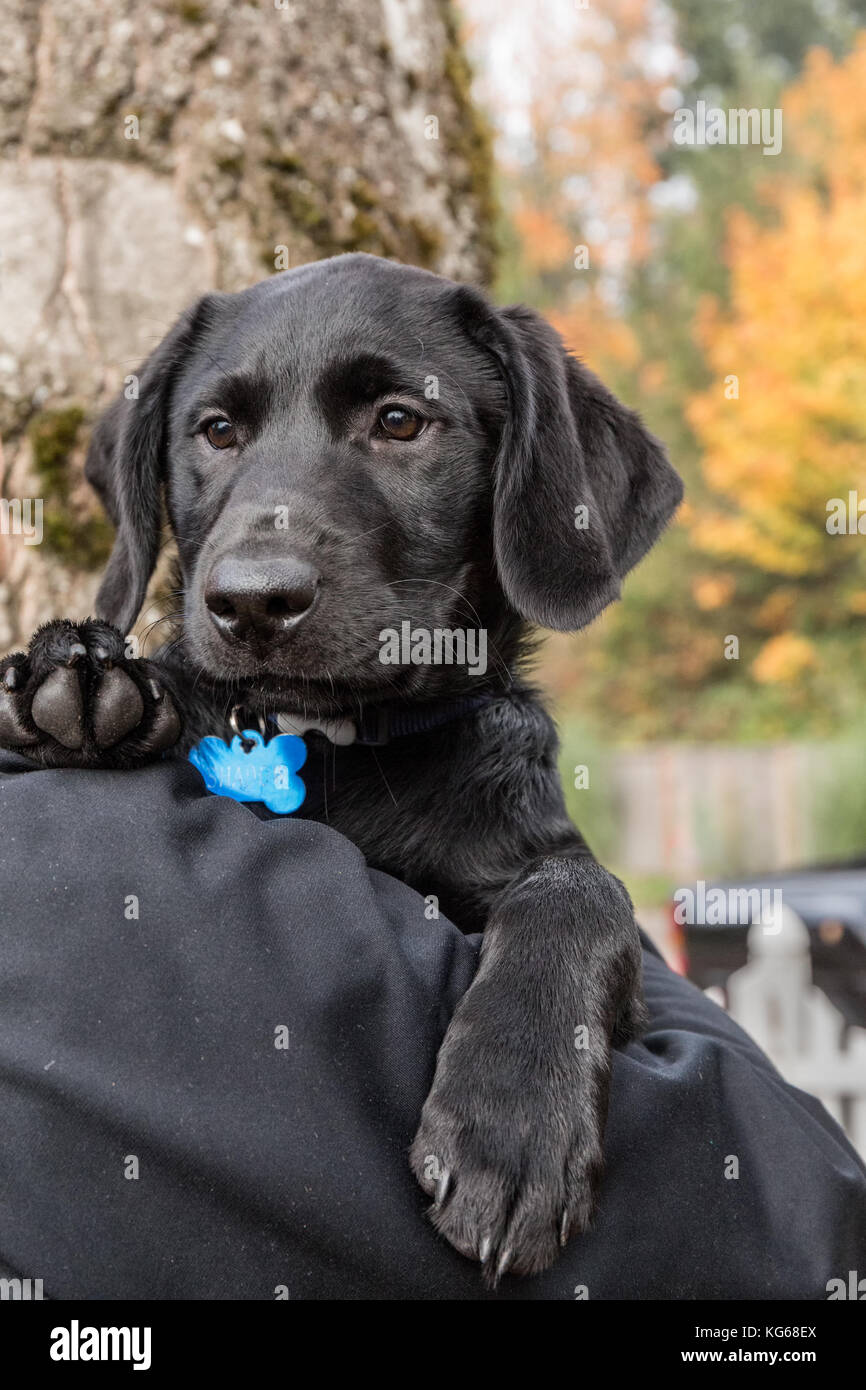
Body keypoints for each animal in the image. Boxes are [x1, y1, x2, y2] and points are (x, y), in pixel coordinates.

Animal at [0, 252, 681, 1278]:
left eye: (399, 421)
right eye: (218, 431)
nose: (252, 601)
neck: (338, 745)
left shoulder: (554, 877)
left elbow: (583, 893)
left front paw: (513, 1122)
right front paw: (85, 673)